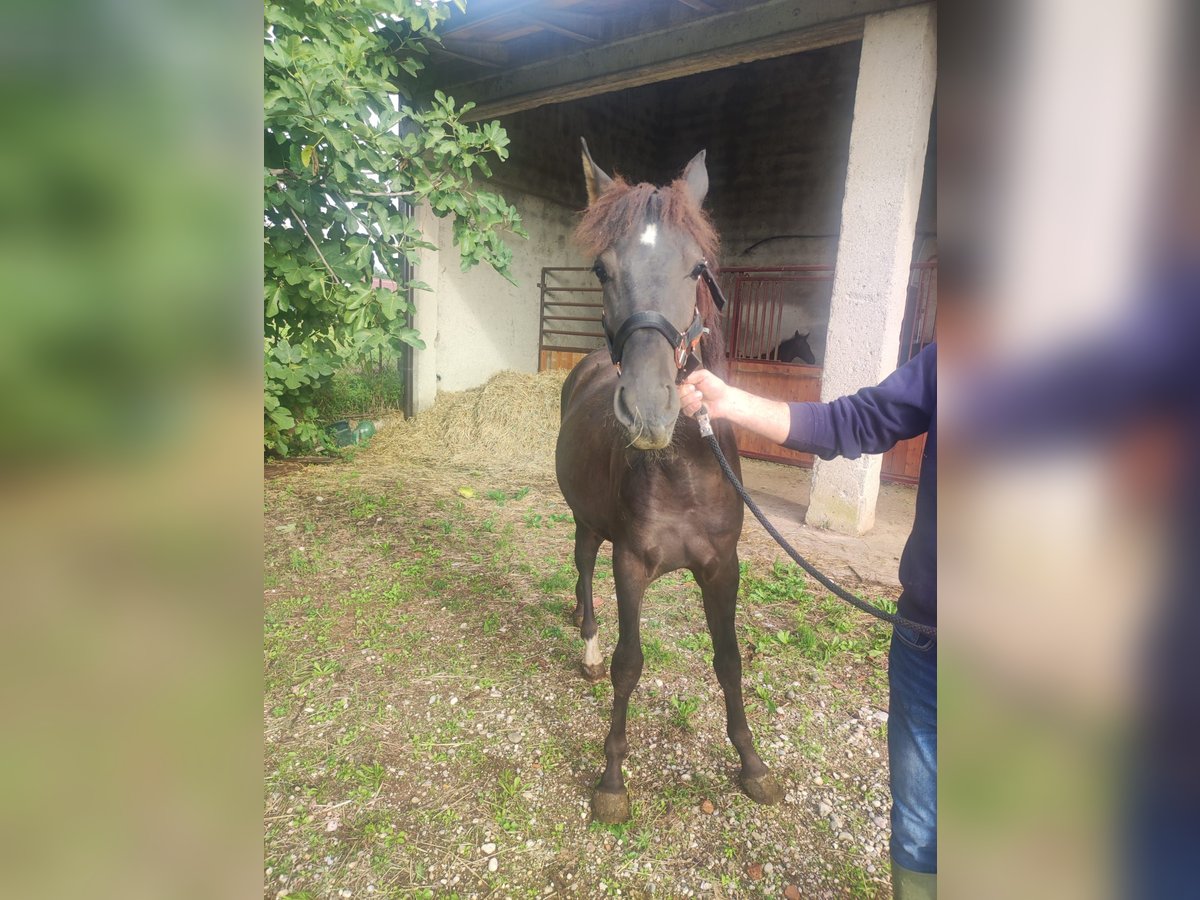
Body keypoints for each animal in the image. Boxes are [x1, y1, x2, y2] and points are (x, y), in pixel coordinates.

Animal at [554, 141, 782, 825]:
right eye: (602, 271)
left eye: (696, 269)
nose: (650, 412)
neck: (683, 469)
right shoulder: (630, 562)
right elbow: (629, 665)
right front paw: (611, 781)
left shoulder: (722, 566)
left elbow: (729, 661)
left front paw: (752, 764)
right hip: (586, 520)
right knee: (582, 566)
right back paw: (587, 646)